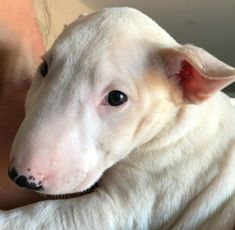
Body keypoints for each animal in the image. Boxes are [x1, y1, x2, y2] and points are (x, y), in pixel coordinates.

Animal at [1, 7, 235, 230]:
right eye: (44, 67)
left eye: (116, 98)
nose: (20, 177)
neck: (174, 126)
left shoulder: (146, 192)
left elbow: (42, 215)